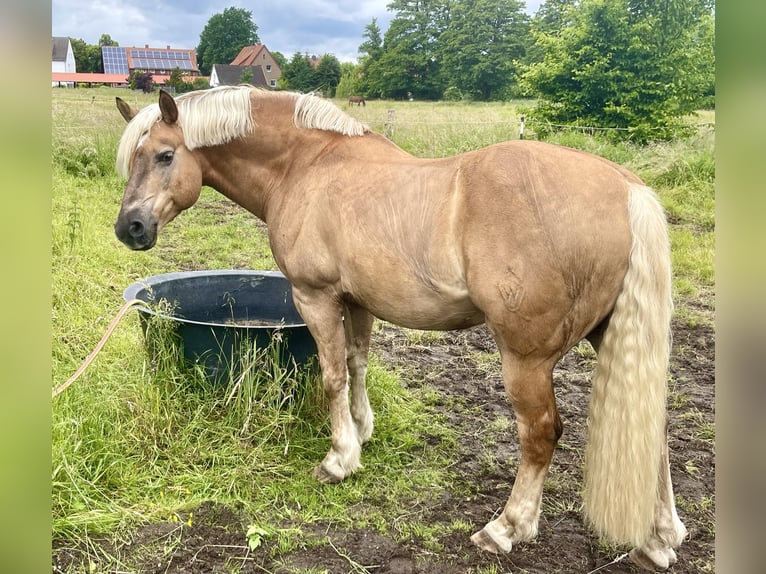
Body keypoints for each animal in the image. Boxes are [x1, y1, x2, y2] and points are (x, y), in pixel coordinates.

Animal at [112, 86, 688, 572]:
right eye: (134, 160)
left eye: (164, 156)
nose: (129, 228)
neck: (306, 164)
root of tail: (626, 187)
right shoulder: (357, 300)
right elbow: (357, 363)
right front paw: (362, 432)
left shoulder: (316, 297)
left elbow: (332, 376)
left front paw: (339, 459)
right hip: (612, 338)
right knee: (652, 431)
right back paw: (660, 541)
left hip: (526, 358)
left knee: (541, 434)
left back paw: (505, 528)